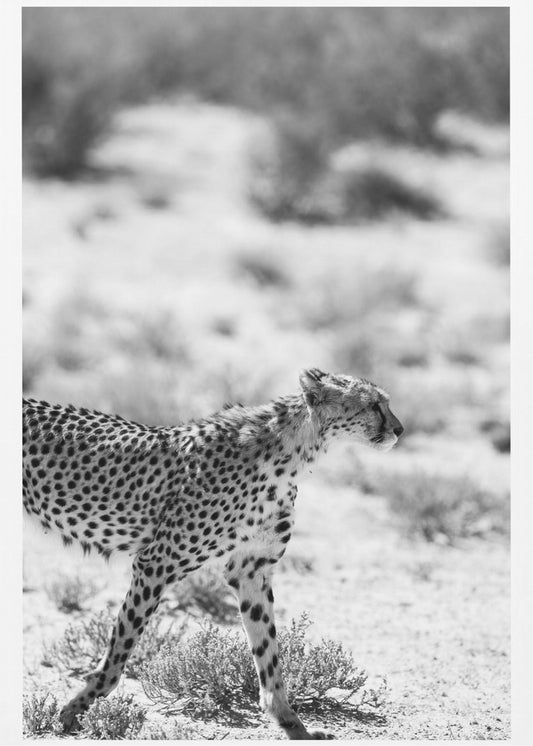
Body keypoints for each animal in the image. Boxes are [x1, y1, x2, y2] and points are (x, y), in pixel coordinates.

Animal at [23, 368, 403, 739]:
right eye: (373, 405)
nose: (399, 429)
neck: (291, 452)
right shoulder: (156, 563)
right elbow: (120, 650)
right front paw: (75, 709)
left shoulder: (251, 570)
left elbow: (268, 650)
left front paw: (291, 722)